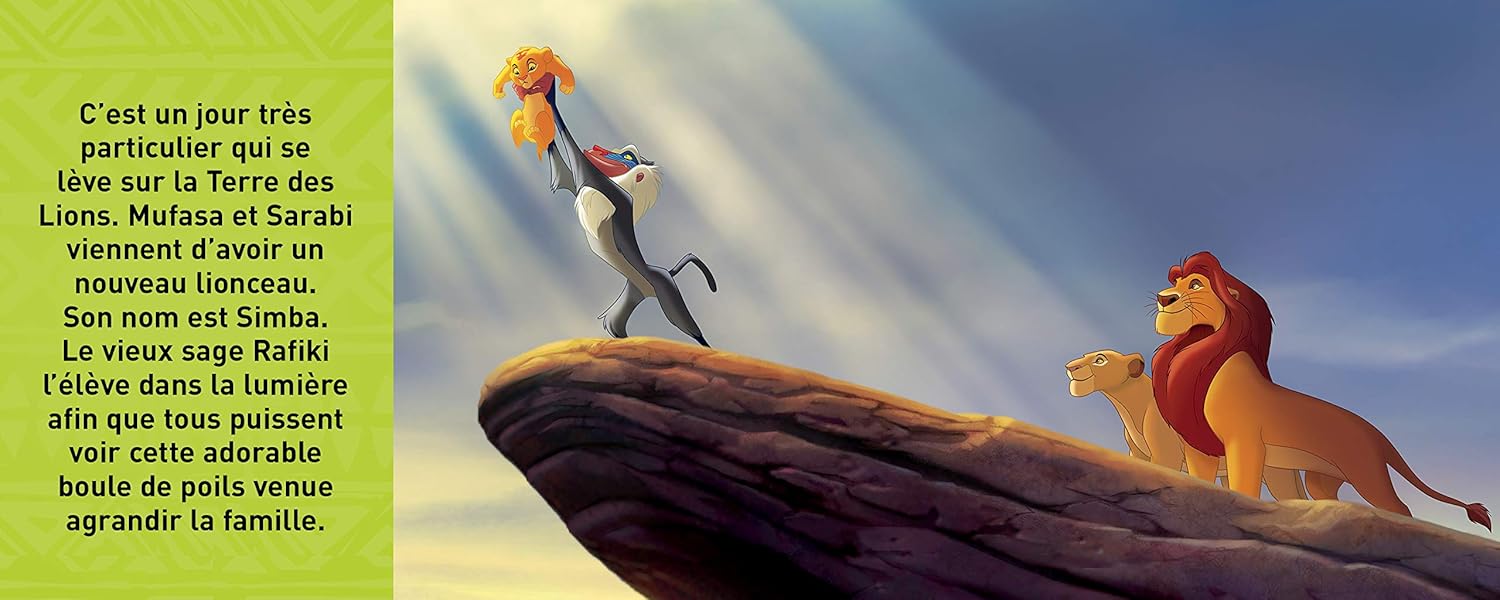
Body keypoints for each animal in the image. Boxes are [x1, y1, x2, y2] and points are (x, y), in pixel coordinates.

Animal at [1066, 349, 1307, 500]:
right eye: (1086, 356)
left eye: (1100, 360)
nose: (1070, 366)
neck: (1129, 407)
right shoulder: (1138, 454)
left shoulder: (1165, 455)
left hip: (1276, 474)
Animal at [1151, 251, 1489, 529]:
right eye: (1177, 282)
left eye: (1196, 285)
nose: (1163, 298)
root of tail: (1376, 434)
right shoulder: (1199, 448)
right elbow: (1201, 480)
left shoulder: (1244, 442)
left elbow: (1243, 486)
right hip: (1322, 480)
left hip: (1367, 473)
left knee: (1399, 507)